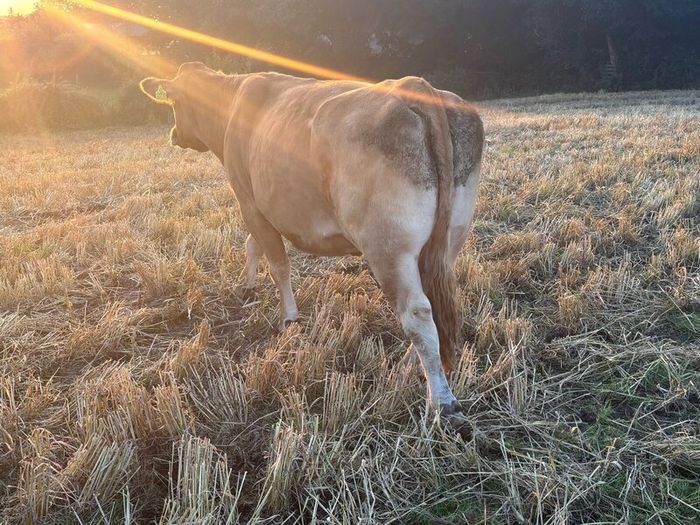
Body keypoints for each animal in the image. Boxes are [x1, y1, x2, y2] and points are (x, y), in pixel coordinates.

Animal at [140, 62, 483, 425]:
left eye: (175, 102)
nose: (174, 135)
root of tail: (415, 87)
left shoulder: (249, 200)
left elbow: (276, 262)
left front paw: (289, 318)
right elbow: (252, 244)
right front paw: (248, 285)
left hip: (390, 249)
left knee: (417, 312)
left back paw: (441, 400)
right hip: (449, 240)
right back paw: (409, 364)